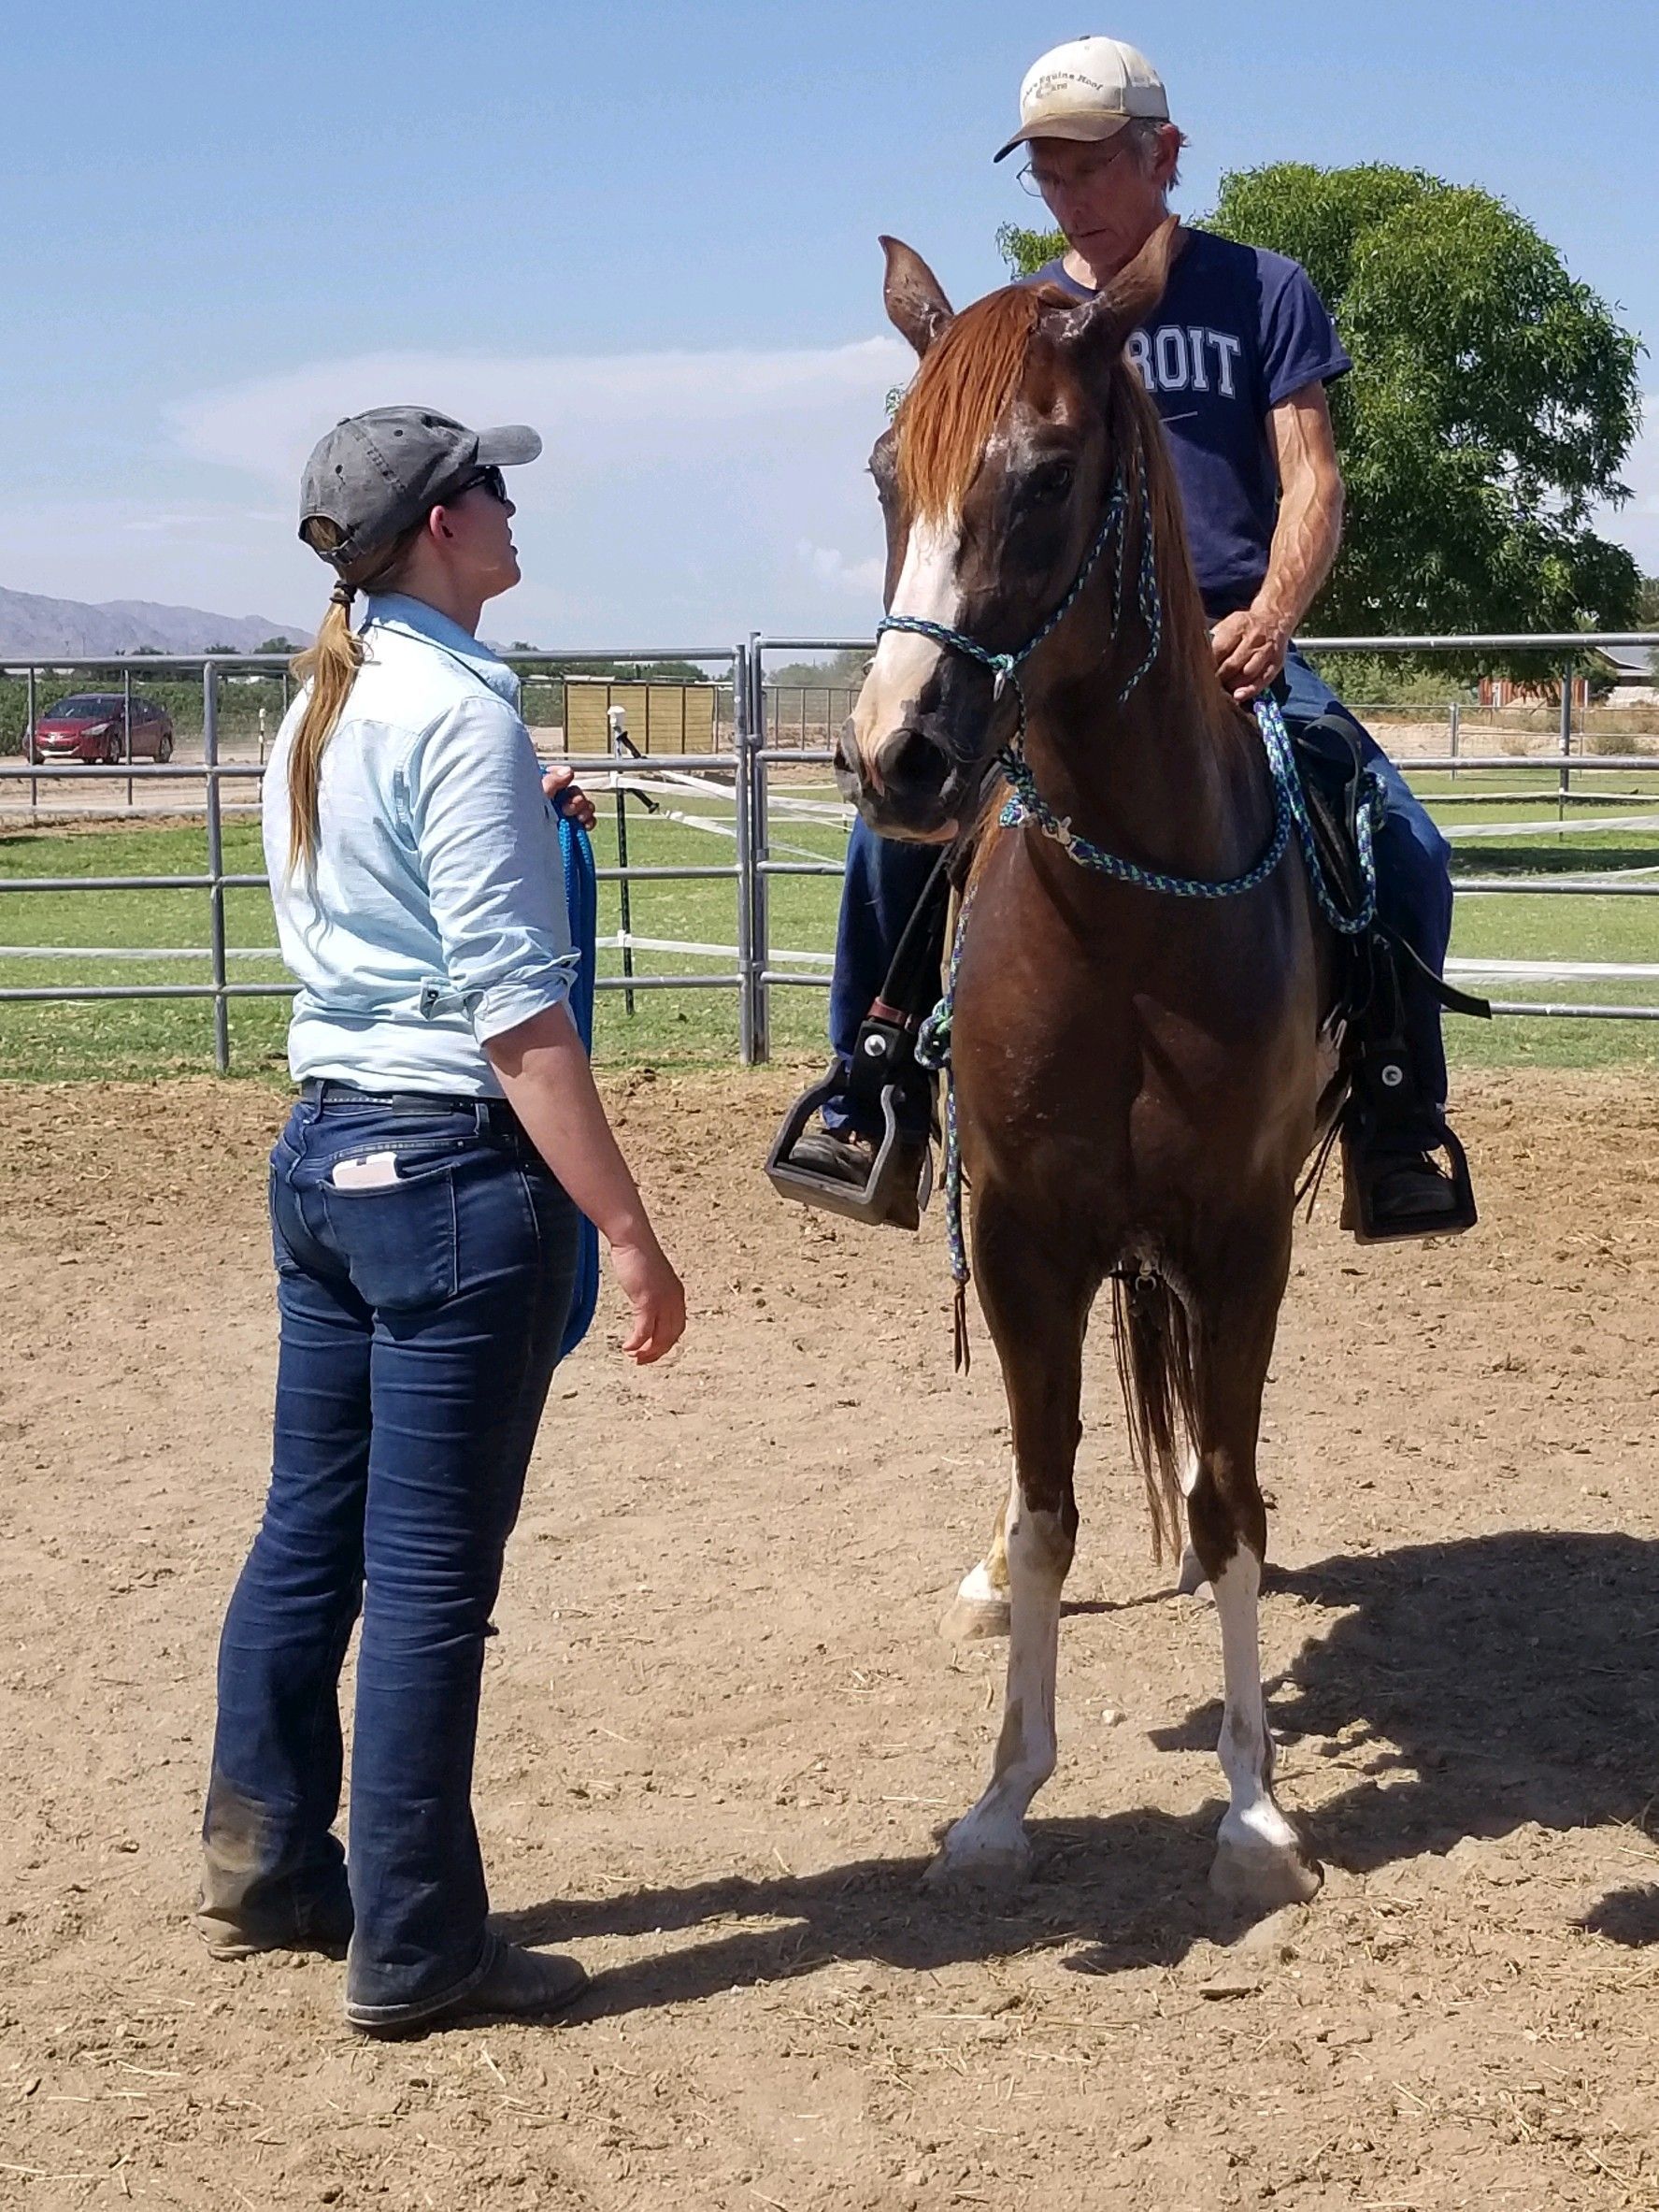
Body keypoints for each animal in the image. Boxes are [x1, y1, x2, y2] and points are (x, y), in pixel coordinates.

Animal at [834, 216, 1329, 1911]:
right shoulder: (1025, 1241)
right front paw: (999, 1800)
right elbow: (1047, 1508)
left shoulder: (1240, 1239)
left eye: (1048, 475)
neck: (1124, 915)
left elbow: (1234, 1501)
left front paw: (1252, 1808)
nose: (894, 754)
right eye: (884, 473)